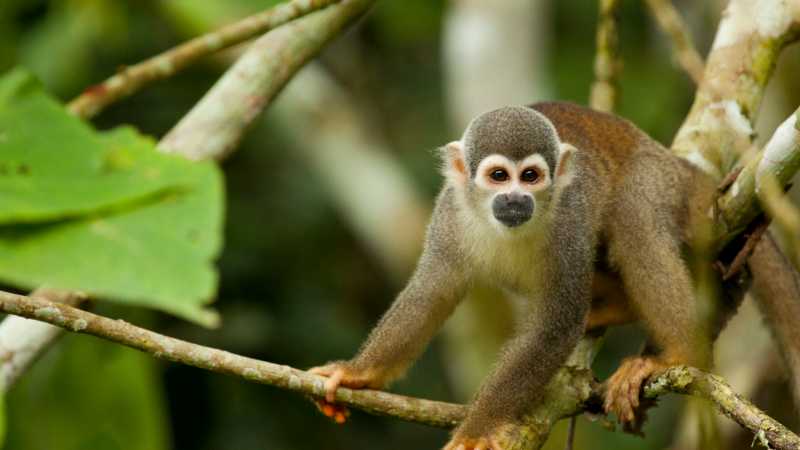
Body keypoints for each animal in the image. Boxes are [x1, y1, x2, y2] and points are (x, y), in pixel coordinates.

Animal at [310, 102, 720, 449]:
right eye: (498, 176)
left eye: (530, 176)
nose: (515, 199)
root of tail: (665, 156)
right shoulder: (449, 214)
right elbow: (428, 295)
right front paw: (358, 373)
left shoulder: (568, 221)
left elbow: (553, 328)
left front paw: (476, 430)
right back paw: (619, 306)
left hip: (652, 180)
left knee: (636, 226)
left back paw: (679, 351)